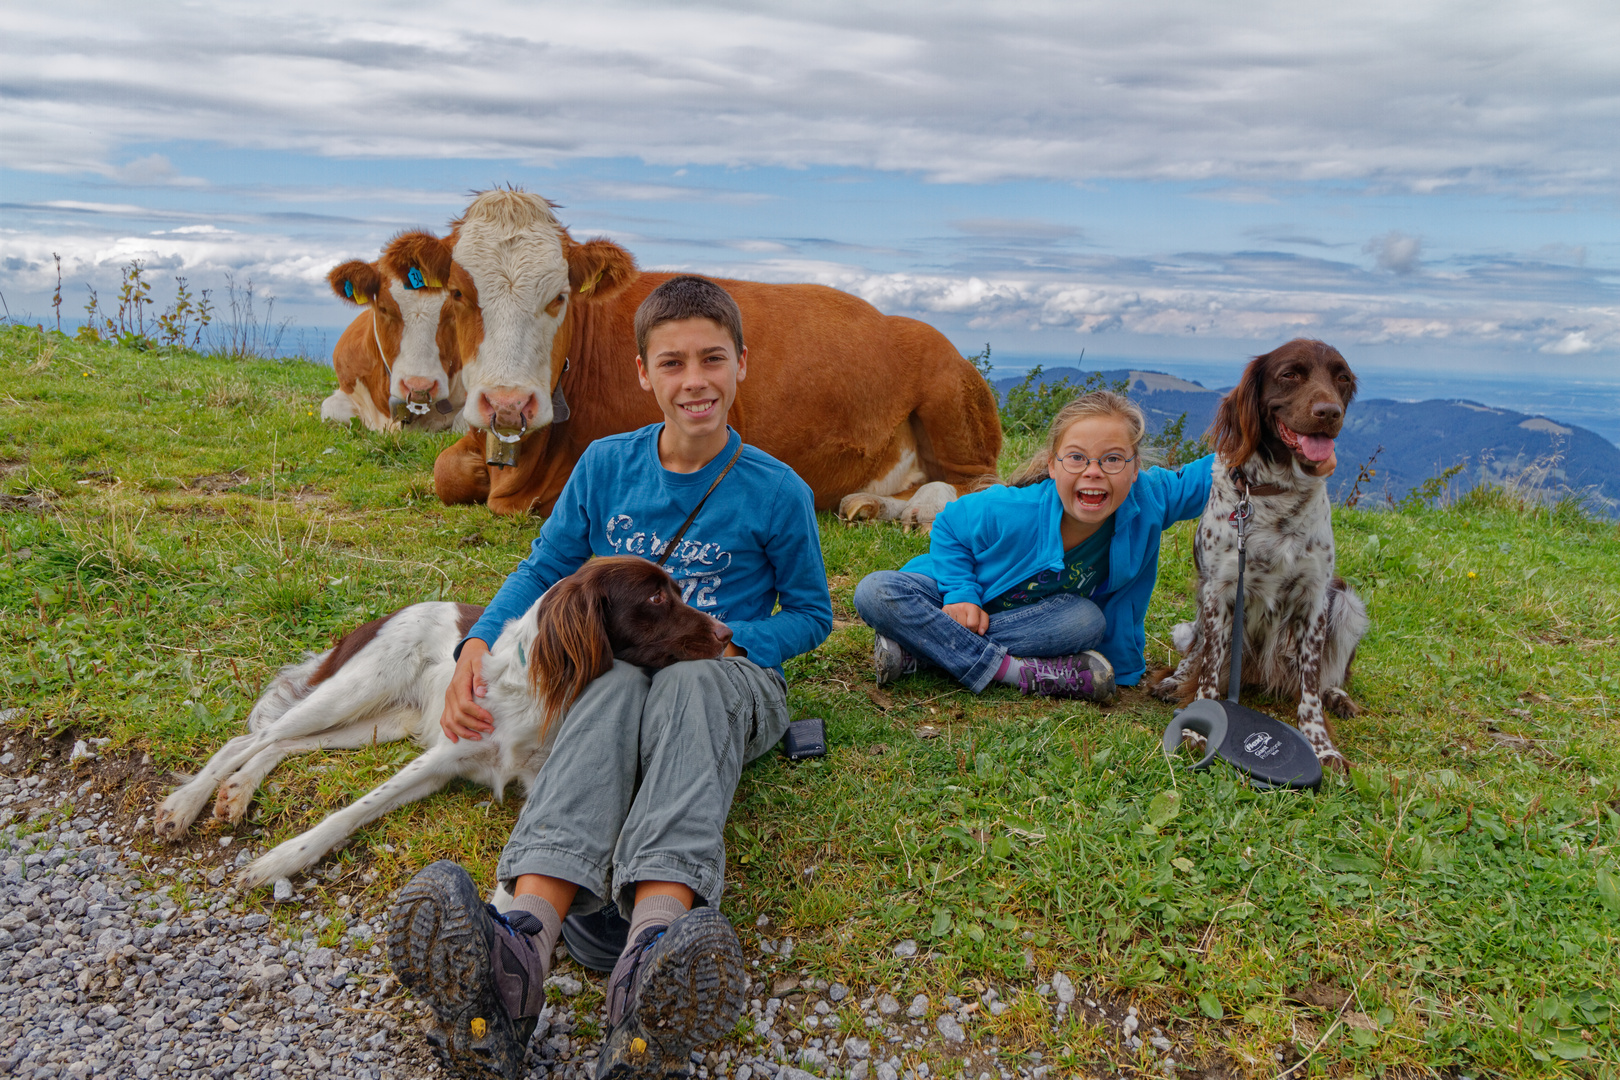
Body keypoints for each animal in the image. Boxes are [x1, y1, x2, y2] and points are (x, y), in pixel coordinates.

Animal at [154, 557, 732, 887]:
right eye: (655, 597)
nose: (729, 635)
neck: (541, 696)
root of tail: (387, 614)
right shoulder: (444, 754)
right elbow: (350, 812)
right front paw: (280, 861)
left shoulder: (520, 777)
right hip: (353, 692)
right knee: (248, 738)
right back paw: (184, 805)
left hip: (380, 723)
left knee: (283, 744)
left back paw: (237, 793)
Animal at [392, 190, 997, 527]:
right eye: (457, 293)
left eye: (559, 297)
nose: (510, 403)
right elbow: (446, 473)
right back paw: (868, 504)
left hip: (949, 395)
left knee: (978, 483)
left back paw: (920, 509)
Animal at [1153, 341, 1367, 773]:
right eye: (1290, 374)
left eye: (1342, 378)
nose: (1329, 413)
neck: (1274, 494)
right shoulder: (1218, 592)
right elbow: (1207, 669)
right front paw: (1196, 728)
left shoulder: (1316, 598)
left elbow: (1310, 690)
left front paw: (1322, 747)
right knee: (1196, 653)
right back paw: (1175, 680)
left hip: (1346, 602)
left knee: (1323, 677)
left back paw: (1337, 696)